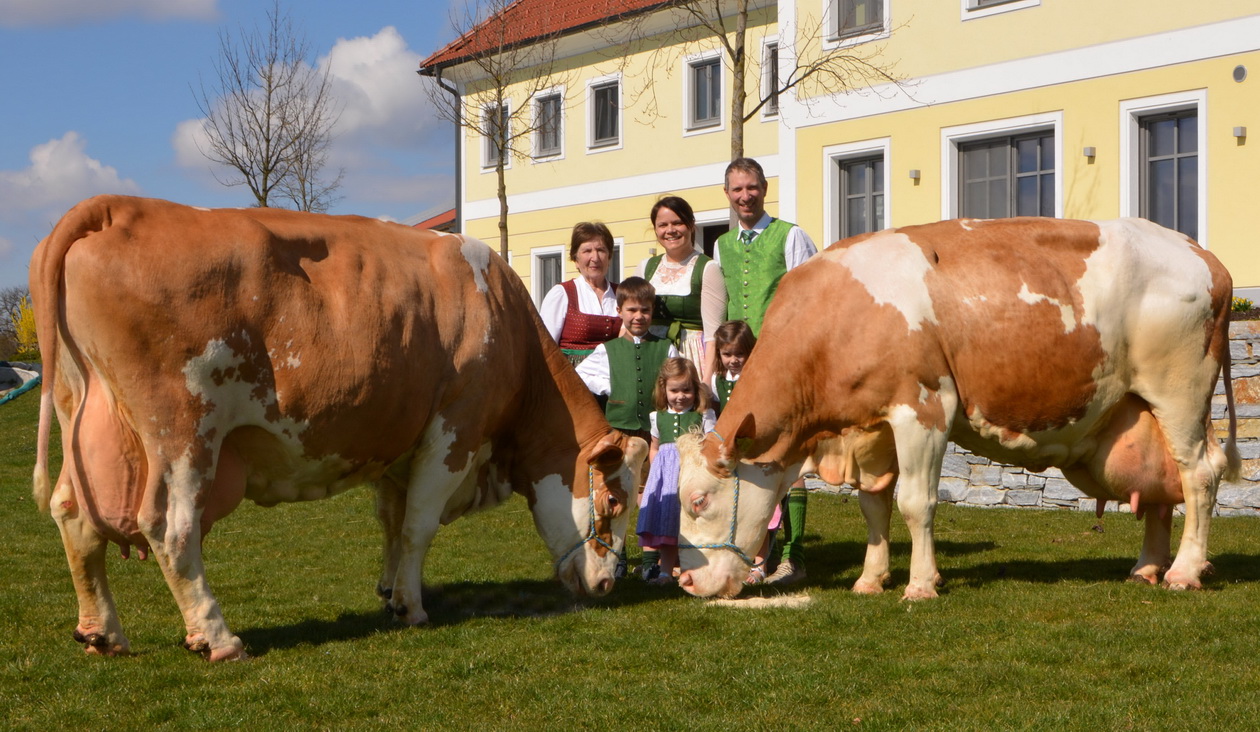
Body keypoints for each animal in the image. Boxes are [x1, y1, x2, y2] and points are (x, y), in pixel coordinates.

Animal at [30, 192, 650, 655]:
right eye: (615, 501)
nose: (607, 584)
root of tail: (119, 206)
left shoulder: (400, 446)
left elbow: (392, 524)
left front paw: (391, 591)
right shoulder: (453, 433)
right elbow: (418, 526)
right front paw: (413, 607)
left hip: (83, 417)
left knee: (73, 515)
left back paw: (102, 632)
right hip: (181, 430)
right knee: (170, 526)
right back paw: (217, 637)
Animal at [680, 215, 1239, 599]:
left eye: (698, 501)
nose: (684, 580)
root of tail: (1203, 255)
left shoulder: (924, 409)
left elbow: (915, 502)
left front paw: (920, 585)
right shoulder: (871, 428)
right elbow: (873, 506)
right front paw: (870, 580)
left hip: (1181, 393)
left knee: (1198, 474)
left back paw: (1185, 572)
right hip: (1141, 410)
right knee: (1162, 488)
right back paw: (1146, 568)